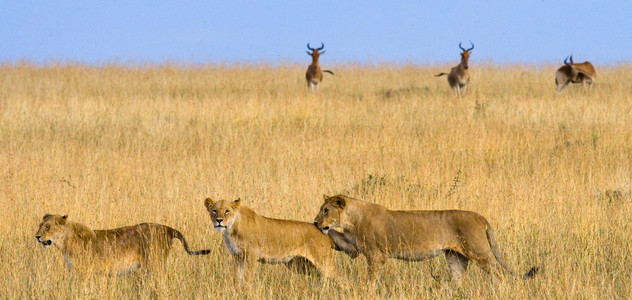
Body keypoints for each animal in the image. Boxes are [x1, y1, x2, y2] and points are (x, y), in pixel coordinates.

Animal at [35, 213, 210, 276]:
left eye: (48, 227)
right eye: (40, 225)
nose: (37, 236)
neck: (64, 241)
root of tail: (168, 228)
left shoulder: (85, 270)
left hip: (154, 264)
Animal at [205, 197, 354, 286]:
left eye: (227, 211)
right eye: (214, 211)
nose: (219, 220)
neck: (231, 230)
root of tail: (324, 231)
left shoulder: (251, 255)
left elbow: (248, 277)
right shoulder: (237, 256)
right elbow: (237, 278)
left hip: (323, 262)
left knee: (343, 279)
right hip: (302, 265)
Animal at [312, 195, 540, 290]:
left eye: (326, 210)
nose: (315, 222)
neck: (352, 220)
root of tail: (481, 217)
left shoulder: (376, 256)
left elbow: (370, 279)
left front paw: (367, 291)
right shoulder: (355, 248)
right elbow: (336, 236)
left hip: (479, 252)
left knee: (500, 274)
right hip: (456, 256)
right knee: (456, 280)